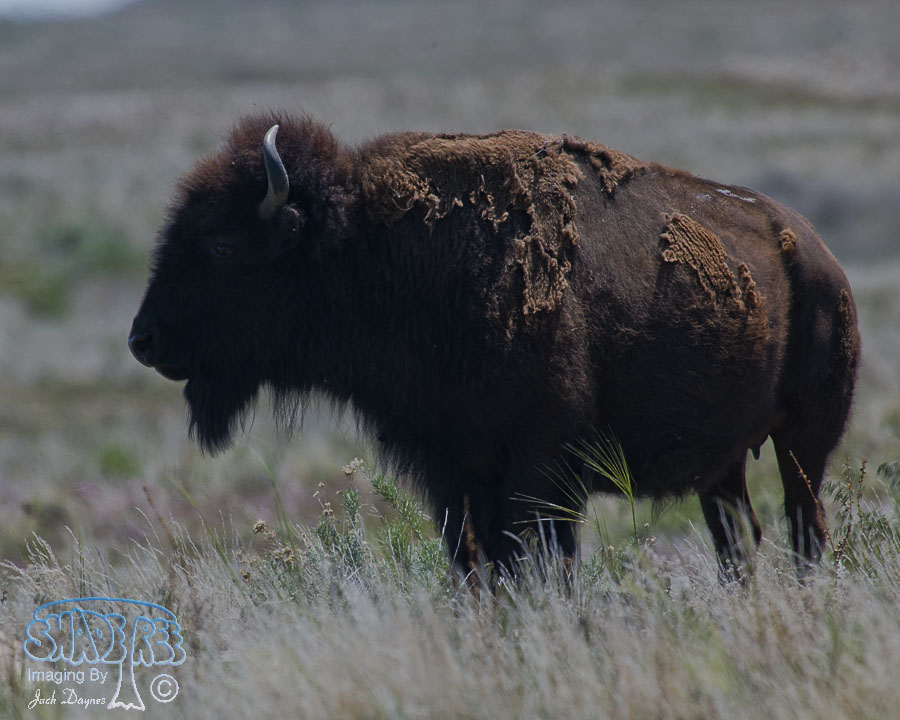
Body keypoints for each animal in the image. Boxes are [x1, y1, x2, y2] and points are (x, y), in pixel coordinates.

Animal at [129, 114, 859, 578]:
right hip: (725, 464)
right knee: (739, 542)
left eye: (221, 244)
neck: (374, 248)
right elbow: (478, 566)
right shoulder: (452, 469)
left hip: (803, 442)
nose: (143, 339)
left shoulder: (539, 467)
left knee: (804, 530)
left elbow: (535, 565)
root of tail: (821, 257)